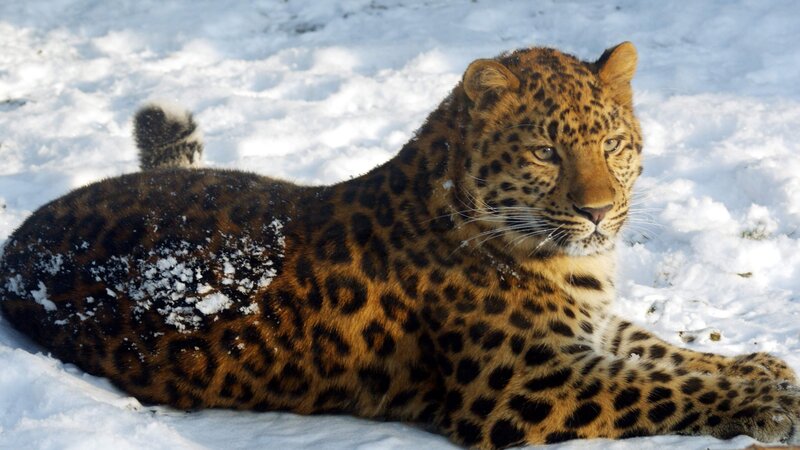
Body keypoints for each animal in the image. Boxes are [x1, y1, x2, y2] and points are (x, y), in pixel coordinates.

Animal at [2, 42, 800, 449]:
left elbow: (665, 351)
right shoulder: (529, 388)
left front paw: (762, 367)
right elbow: (663, 385)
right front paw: (770, 400)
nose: (599, 212)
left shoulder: (591, 332)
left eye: (610, 144)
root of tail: (18, 242)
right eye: (546, 151)